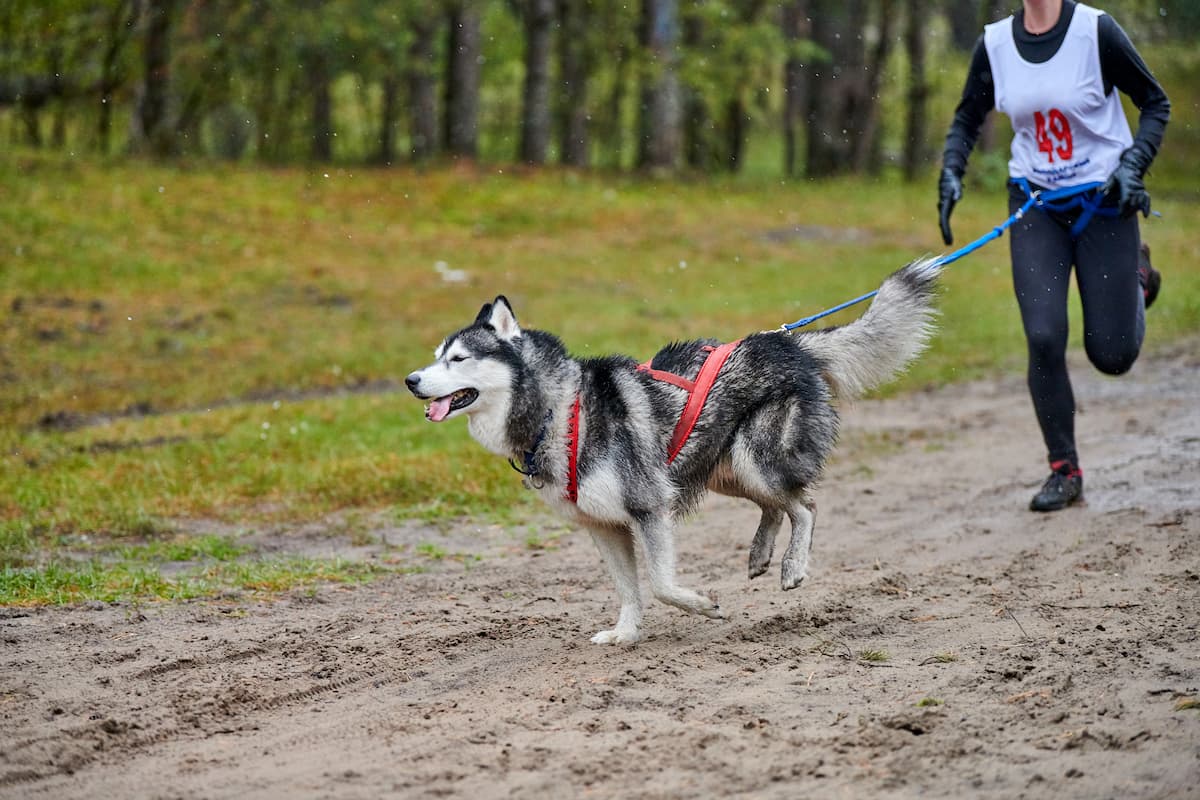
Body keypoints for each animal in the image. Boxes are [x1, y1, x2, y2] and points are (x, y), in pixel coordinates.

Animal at [408, 261, 940, 642]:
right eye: (435, 357)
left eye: (458, 359)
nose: (411, 380)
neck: (560, 412)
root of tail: (788, 342)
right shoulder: (604, 527)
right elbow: (629, 589)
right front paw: (625, 635)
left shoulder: (649, 507)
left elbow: (661, 585)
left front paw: (701, 606)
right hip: (726, 470)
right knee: (776, 506)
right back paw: (759, 554)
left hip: (754, 460)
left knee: (805, 505)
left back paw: (791, 566)